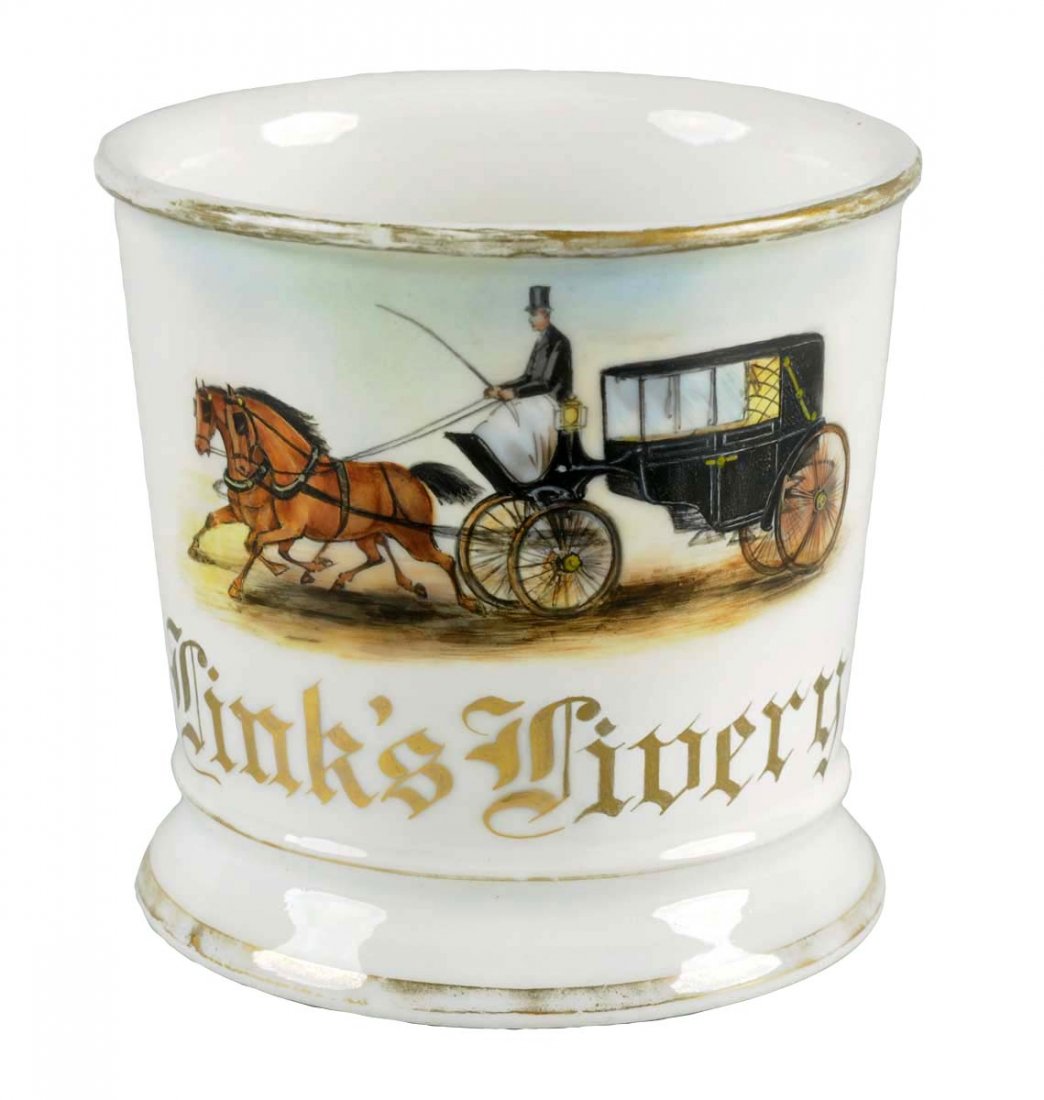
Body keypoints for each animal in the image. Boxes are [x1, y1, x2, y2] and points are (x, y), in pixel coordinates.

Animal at [189, 382, 481, 611]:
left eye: (239, 422)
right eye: (195, 409)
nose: (200, 447)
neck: (295, 470)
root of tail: (413, 475)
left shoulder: (286, 527)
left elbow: (256, 543)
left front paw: (239, 585)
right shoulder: (272, 525)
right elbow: (226, 526)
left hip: (414, 538)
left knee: (446, 560)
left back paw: (466, 601)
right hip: (369, 534)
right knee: (377, 557)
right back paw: (350, 579)